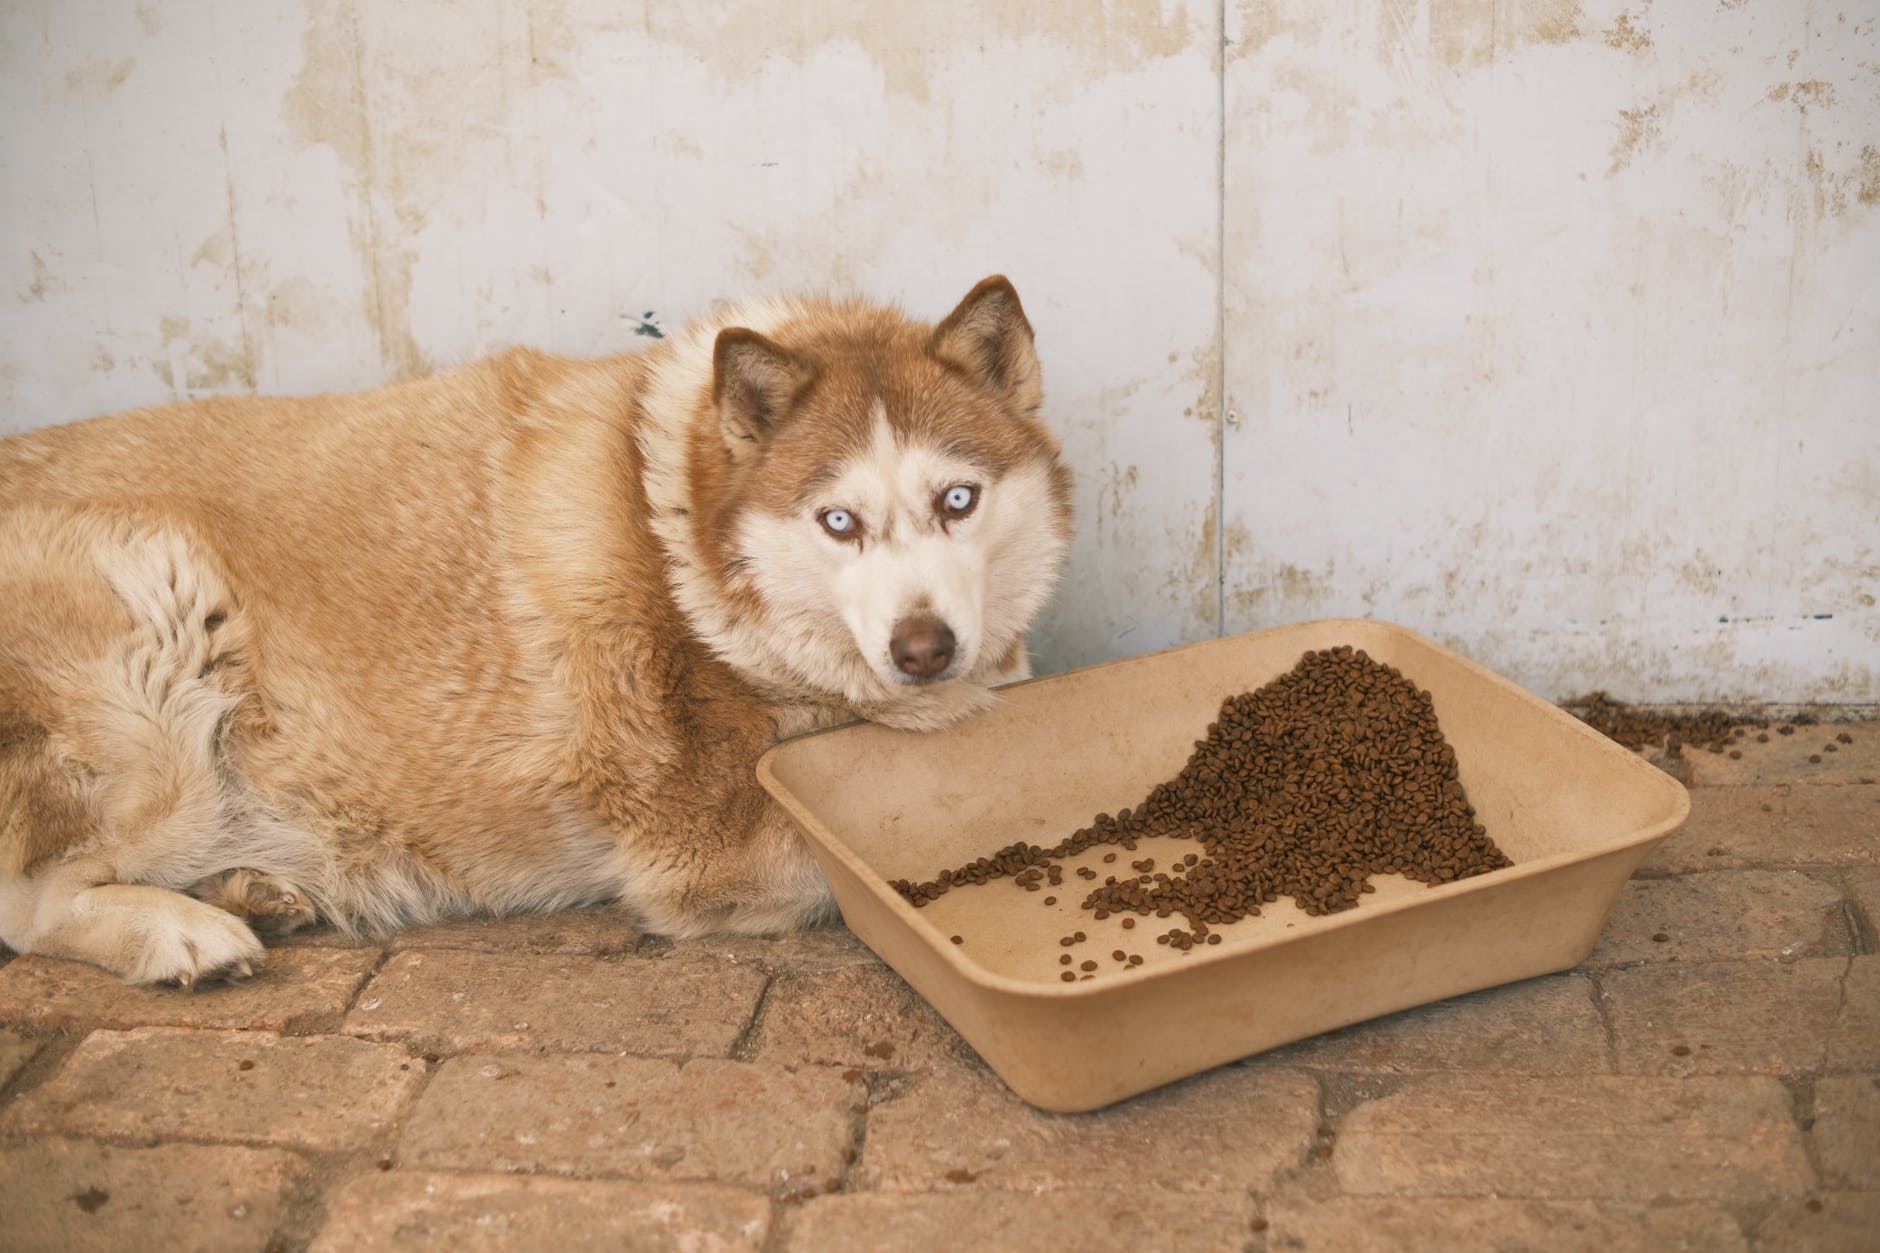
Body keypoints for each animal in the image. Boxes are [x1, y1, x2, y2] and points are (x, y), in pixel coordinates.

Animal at [0, 278, 1075, 978]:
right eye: (838, 521)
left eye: (959, 499)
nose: (924, 648)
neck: (681, 541)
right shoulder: (709, 851)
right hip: (161, 639)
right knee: (28, 902)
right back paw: (181, 934)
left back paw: (252, 887)